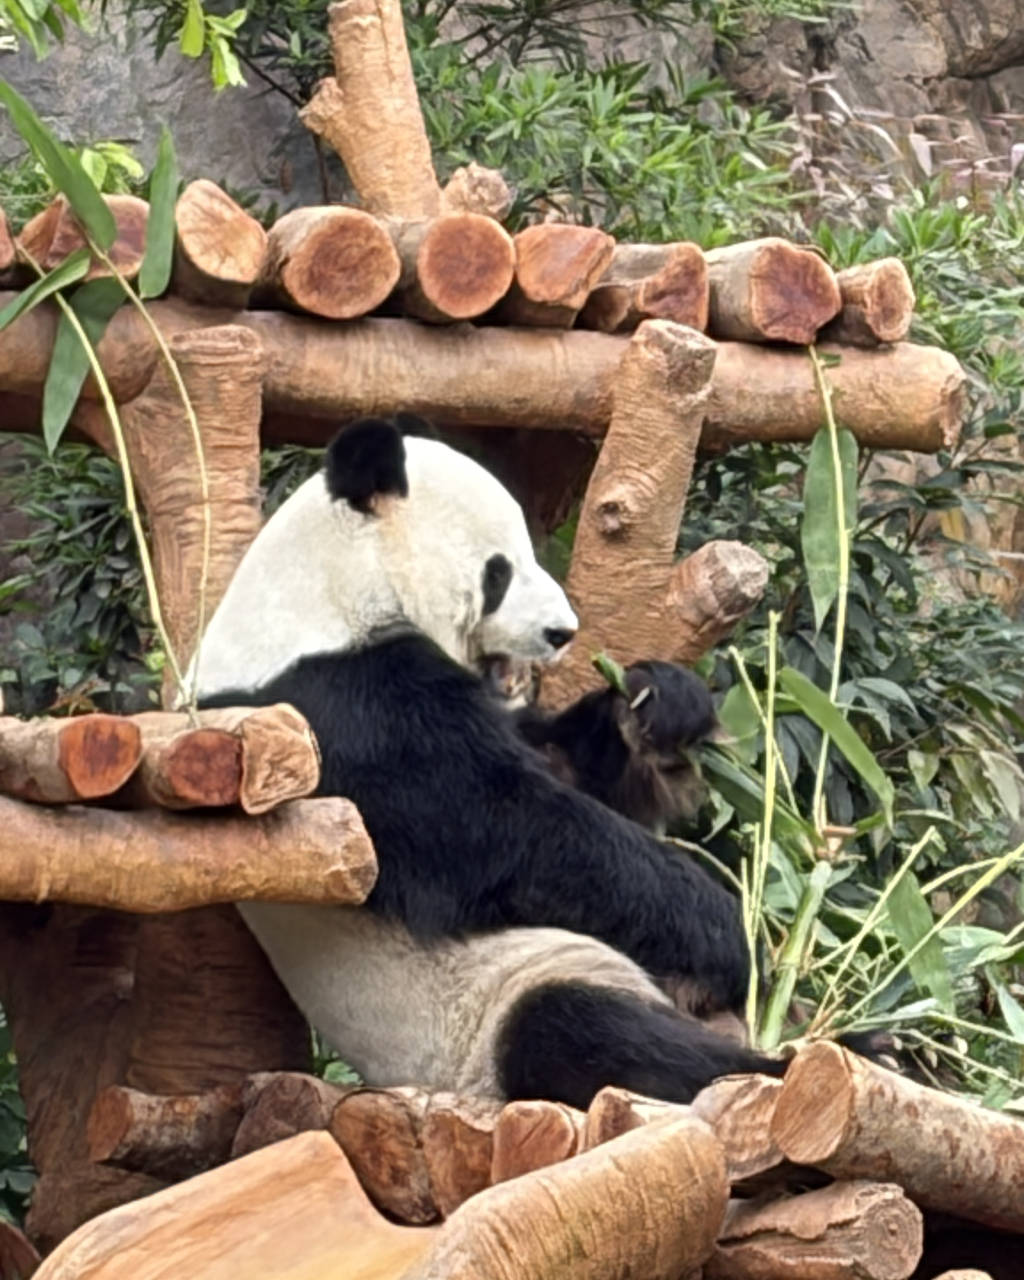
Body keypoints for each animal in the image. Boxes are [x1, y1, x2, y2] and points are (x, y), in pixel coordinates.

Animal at [194, 415, 784, 1108]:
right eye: (500, 571)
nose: (562, 633)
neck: (325, 596)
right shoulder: (340, 713)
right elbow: (508, 834)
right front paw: (733, 937)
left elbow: (573, 769)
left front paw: (659, 706)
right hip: (495, 1012)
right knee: (583, 1030)